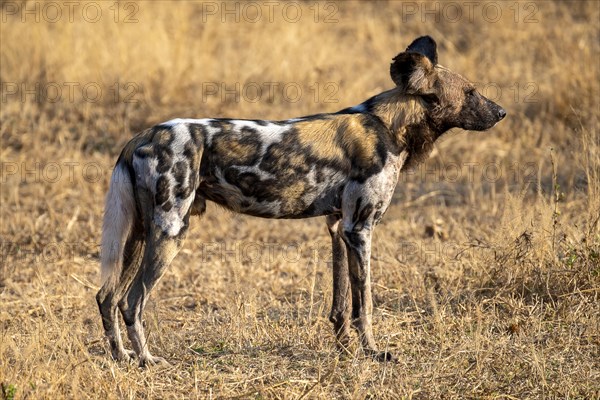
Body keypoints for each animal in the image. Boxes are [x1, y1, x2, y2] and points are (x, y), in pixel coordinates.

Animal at [96, 36, 504, 368]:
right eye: (470, 92)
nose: (501, 112)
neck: (390, 125)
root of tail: (141, 136)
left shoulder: (339, 227)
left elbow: (341, 303)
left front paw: (344, 350)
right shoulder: (361, 230)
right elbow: (365, 303)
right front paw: (373, 352)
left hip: (140, 234)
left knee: (107, 296)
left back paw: (122, 357)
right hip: (171, 231)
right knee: (132, 301)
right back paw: (147, 359)